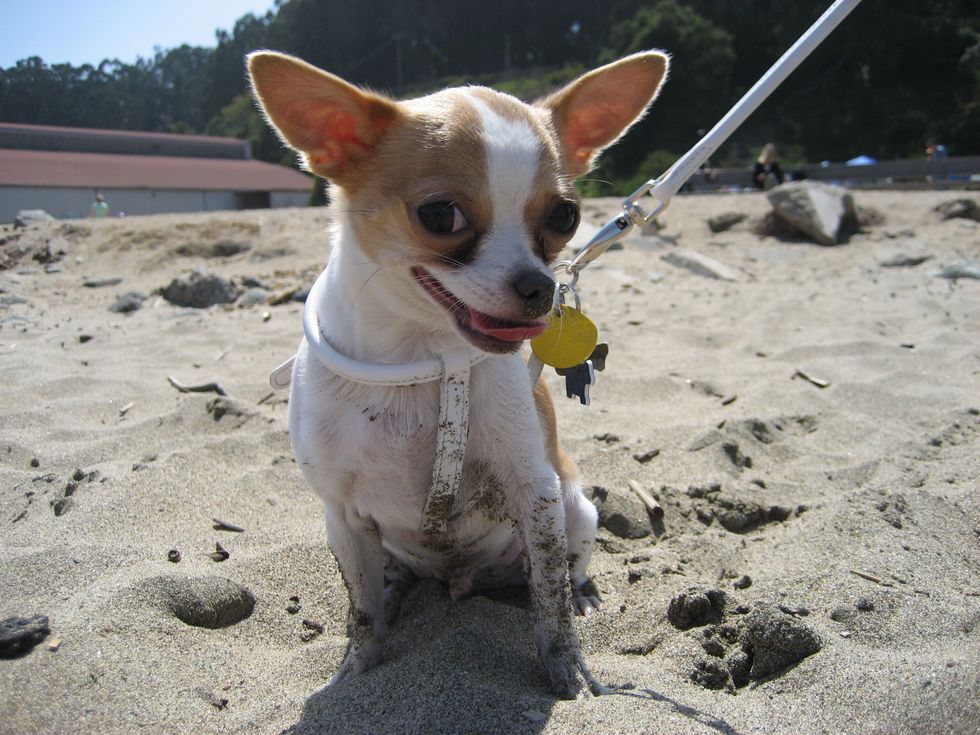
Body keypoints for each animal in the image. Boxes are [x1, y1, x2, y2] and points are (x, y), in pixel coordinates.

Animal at [248, 49, 668, 699]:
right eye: (440, 214)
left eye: (565, 215)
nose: (540, 286)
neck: (422, 361)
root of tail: (463, 580)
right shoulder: (340, 516)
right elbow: (360, 612)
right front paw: (358, 668)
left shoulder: (535, 491)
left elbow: (550, 601)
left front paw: (566, 671)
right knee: (386, 582)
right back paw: (396, 589)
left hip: (577, 508)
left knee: (559, 574)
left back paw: (582, 594)